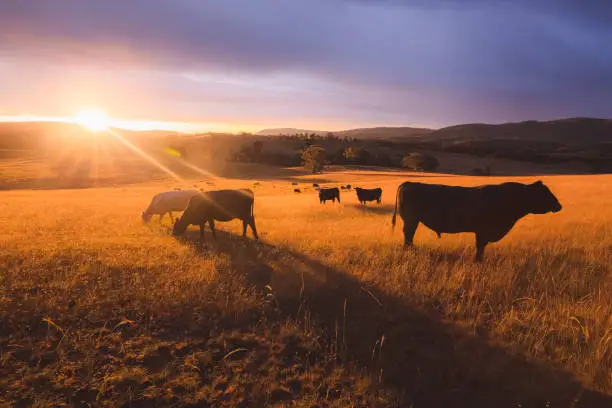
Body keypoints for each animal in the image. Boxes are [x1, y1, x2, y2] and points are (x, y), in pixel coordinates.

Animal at [394, 181, 560, 262]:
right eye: (544, 192)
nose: (559, 205)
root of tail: (409, 183)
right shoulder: (482, 232)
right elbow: (480, 247)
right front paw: (478, 261)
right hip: (411, 221)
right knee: (408, 236)